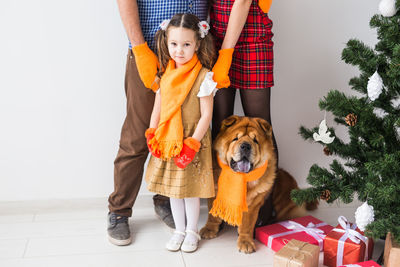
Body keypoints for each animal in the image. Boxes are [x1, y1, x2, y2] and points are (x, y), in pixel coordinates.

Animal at [198, 116, 314, 254]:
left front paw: (245, 242)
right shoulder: (215, 194)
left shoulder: (253, 205)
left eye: (255, 141)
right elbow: (213, 215)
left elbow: (247, 225)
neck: (241, 179)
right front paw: (209, 229)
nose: (245, 146)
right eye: (235, 138)